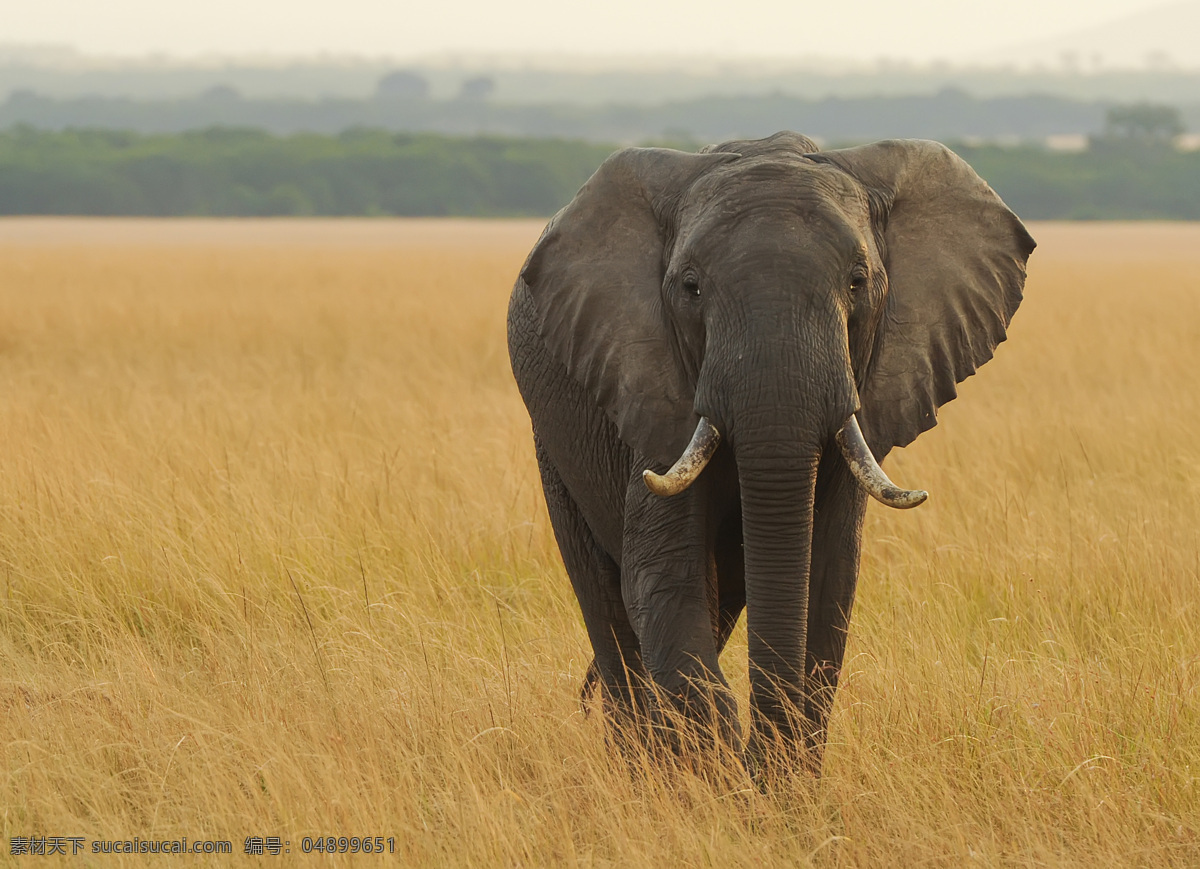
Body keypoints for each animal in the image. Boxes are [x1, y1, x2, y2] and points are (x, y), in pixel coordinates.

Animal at [504, 130, 1032, 772]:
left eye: (858, 282)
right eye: (691, 288)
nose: (759, 762)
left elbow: (826, 584)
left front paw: (776, 785)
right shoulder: (651, 389)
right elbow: (665, 580)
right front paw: (719, 775)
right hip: (552, 441)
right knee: (608, 605)